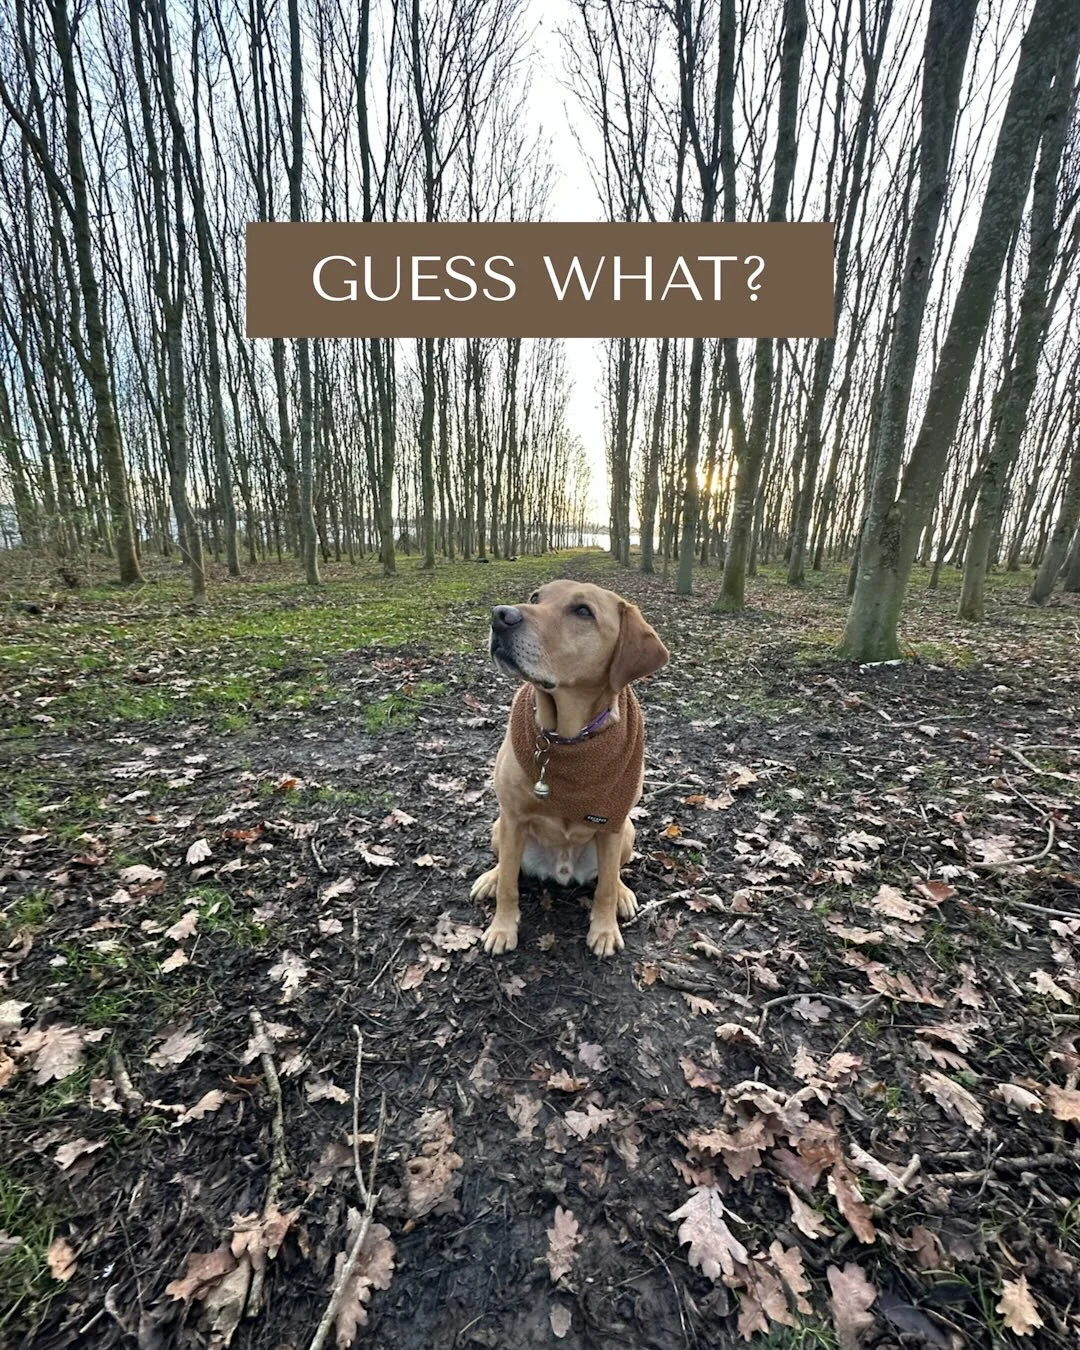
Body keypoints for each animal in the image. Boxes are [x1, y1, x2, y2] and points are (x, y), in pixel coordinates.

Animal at [471, 579, 668, 957]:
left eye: (582, 611)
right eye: (536, 597)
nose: (500, 615)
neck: (563, 738)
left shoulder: (612, 825)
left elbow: (605, 888)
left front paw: (604, 930)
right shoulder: (513, 817)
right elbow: (508, 885)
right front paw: (502, 928)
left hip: (627, 832)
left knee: (612, 875)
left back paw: (623, 894)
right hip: (499, 827)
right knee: (506, 866)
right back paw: (490, 877)